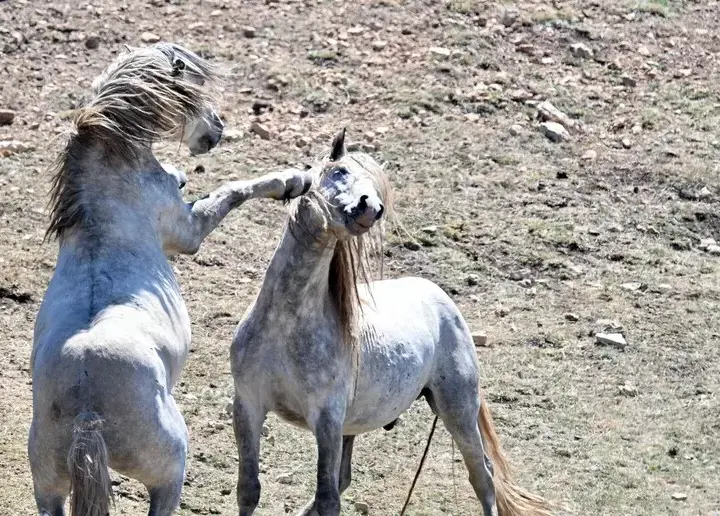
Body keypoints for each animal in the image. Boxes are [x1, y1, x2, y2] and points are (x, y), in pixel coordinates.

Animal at [28, 43, 312, 516]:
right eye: (193, 86)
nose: (217, 128)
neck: (104, 200)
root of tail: (86, 413)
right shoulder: (190, 232)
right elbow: (233, 190)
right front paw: (293, 180)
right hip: (169, 473)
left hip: (48, 492)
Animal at [230, 129, 553, 516]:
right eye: (340, 171)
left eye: (376, 188)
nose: (371, 208)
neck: (286, 326)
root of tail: (443, 301)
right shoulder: (248, 405)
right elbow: (250, 490)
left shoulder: (326, 420)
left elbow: (327, 499)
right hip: (355, 426)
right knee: (345, 479)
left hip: (457, 411)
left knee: (483, 477)